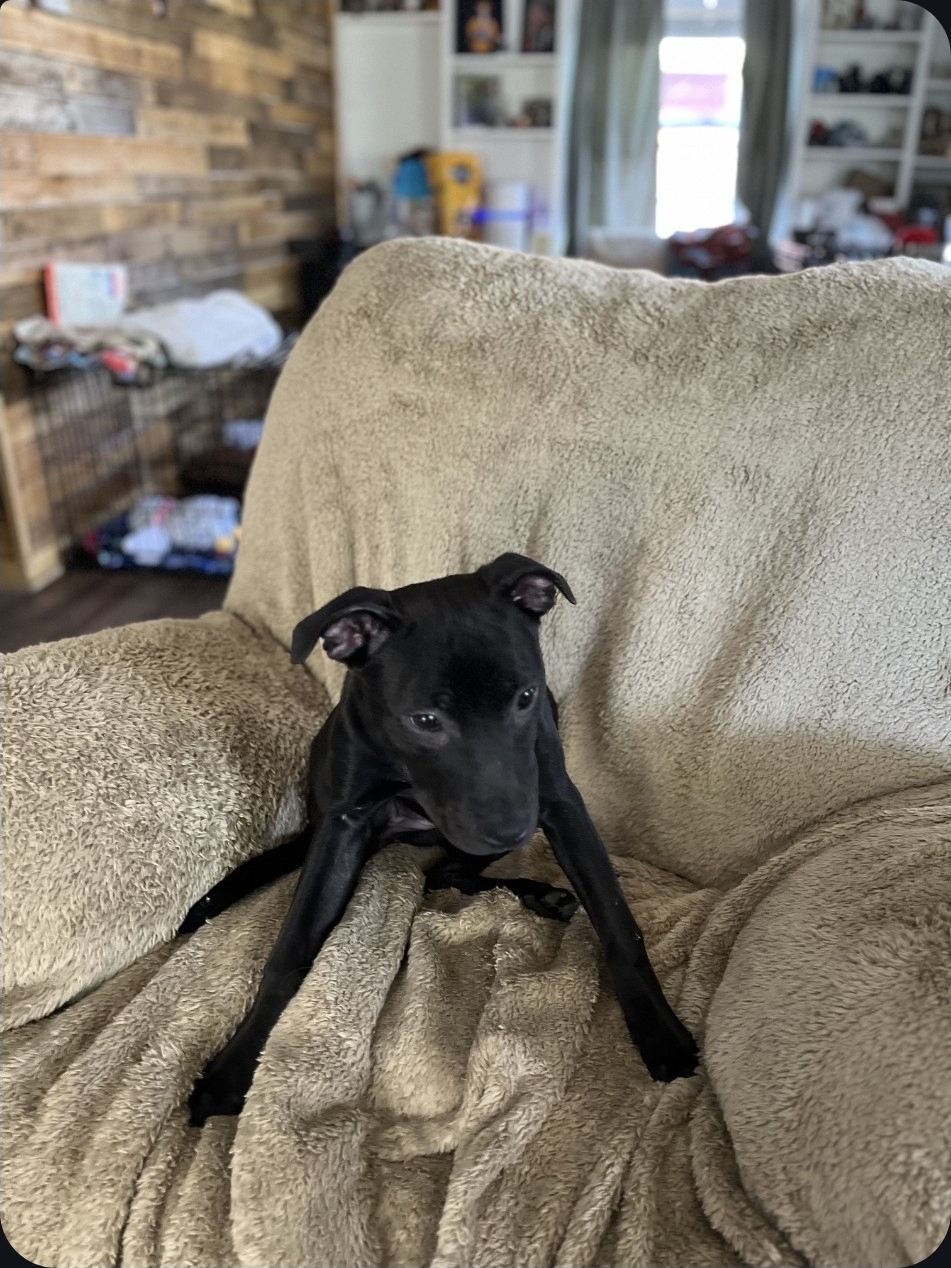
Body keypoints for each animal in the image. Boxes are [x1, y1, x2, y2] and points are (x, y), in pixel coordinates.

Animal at [186, 554, 698, 1125]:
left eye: (526, 697)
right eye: (425, 719)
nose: (512, 829)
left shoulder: (560, 803)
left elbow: (619, 925)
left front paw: (658, 1029)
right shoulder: (343, 827)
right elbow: (291, 948)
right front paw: (235, 1065)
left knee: (450, 873)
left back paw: (536, 894)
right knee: (443, 875)